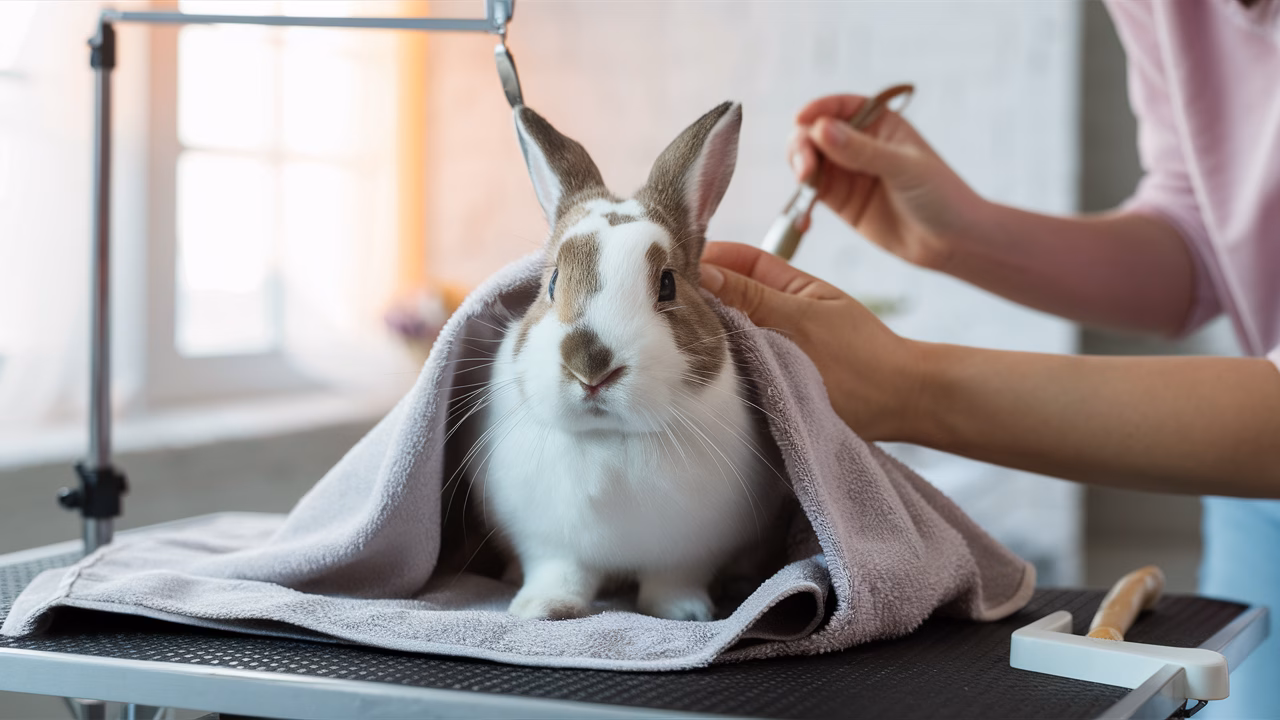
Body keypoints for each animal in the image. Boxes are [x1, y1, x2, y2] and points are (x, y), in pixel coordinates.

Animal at [469, 101, 781, 622]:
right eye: (551, 282)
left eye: (668, 284)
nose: (591, 368)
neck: (608, 438)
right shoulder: (549, 543)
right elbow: (560, 573)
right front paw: (540, 609)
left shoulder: (690, 550)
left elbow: (674, 580)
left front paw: (684, 614)